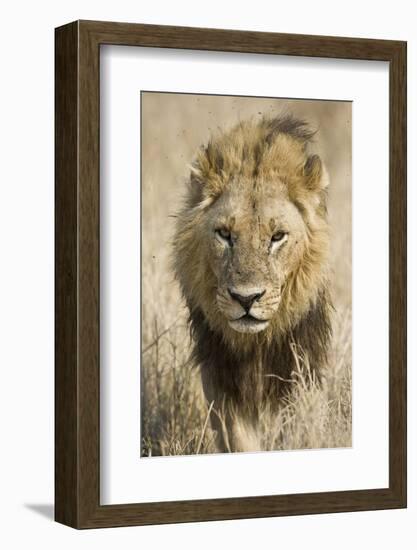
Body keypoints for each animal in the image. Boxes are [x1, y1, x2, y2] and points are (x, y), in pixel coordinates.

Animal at [172, 113, 332, 452]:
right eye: (224, 234)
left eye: (277, 236)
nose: (246, 299)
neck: (256, 343)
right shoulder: (221, 378)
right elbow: (239, 440)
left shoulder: (301, 368)